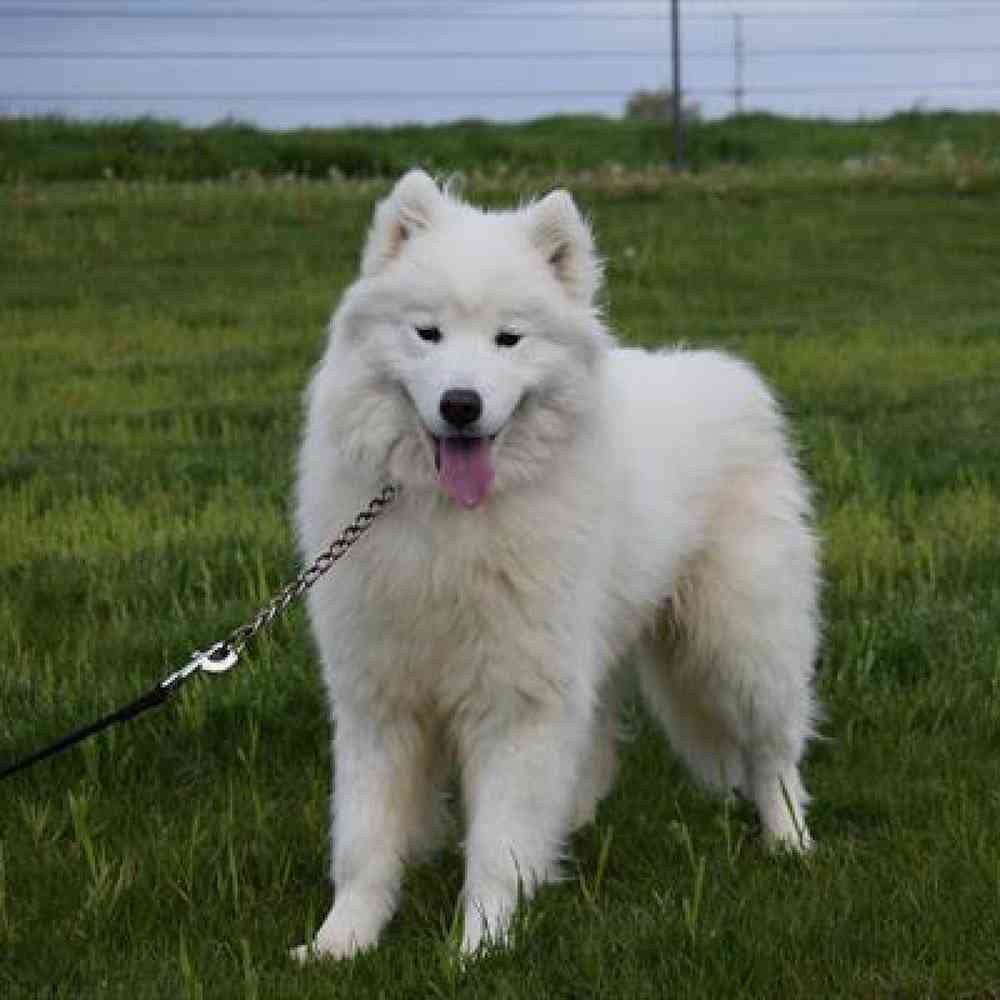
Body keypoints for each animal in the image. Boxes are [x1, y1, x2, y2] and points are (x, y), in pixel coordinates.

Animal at [292, 172, 820, 960]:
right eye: (427, 333)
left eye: (509, 339)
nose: (461, 403)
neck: (452, 524)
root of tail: (729, 376)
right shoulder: (379, 699)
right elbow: (365, 839)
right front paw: (341, 943)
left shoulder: (517, 698)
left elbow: (494, 845)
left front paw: (479, 947)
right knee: (595, 748)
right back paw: (567, 829)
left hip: (740, 645)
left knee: (773, 753)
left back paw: (789, 841)